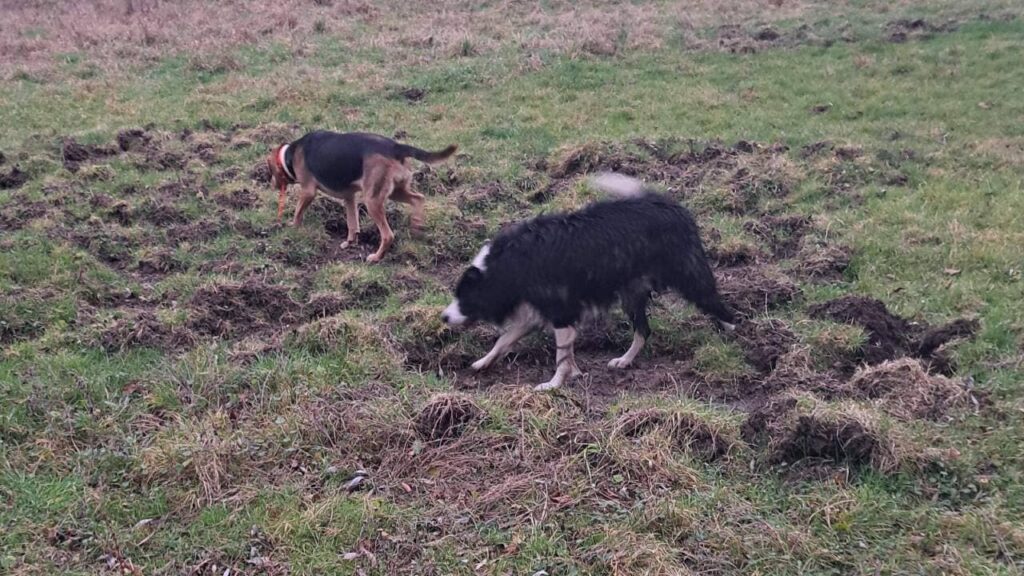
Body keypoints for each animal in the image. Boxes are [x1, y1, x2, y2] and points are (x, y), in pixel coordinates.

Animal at [268, 129, 456, 260]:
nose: (271, 185)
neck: (289, 155)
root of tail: (396, 147)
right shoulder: (349, 197)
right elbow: (352, 223)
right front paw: (350, 242)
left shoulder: (308, 192)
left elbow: (298, 212)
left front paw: (293, 228)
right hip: (396, 191)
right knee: (418, 199)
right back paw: (417, 227)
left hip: (372, 201)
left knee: (388, 235)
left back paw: (376, 258)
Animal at [440, 172, 737, 387]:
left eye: (464, 297)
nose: (443, 317)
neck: (505, 267)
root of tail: (668, 202)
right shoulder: (536, 311)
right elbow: (504, 341)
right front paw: (483, 362)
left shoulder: (561, 311)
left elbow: (560, 356)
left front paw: (554, 385)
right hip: (631, 293)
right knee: (643, 330)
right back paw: (624, 361)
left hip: (688, 275)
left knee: (716, 304)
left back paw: (730, 329)